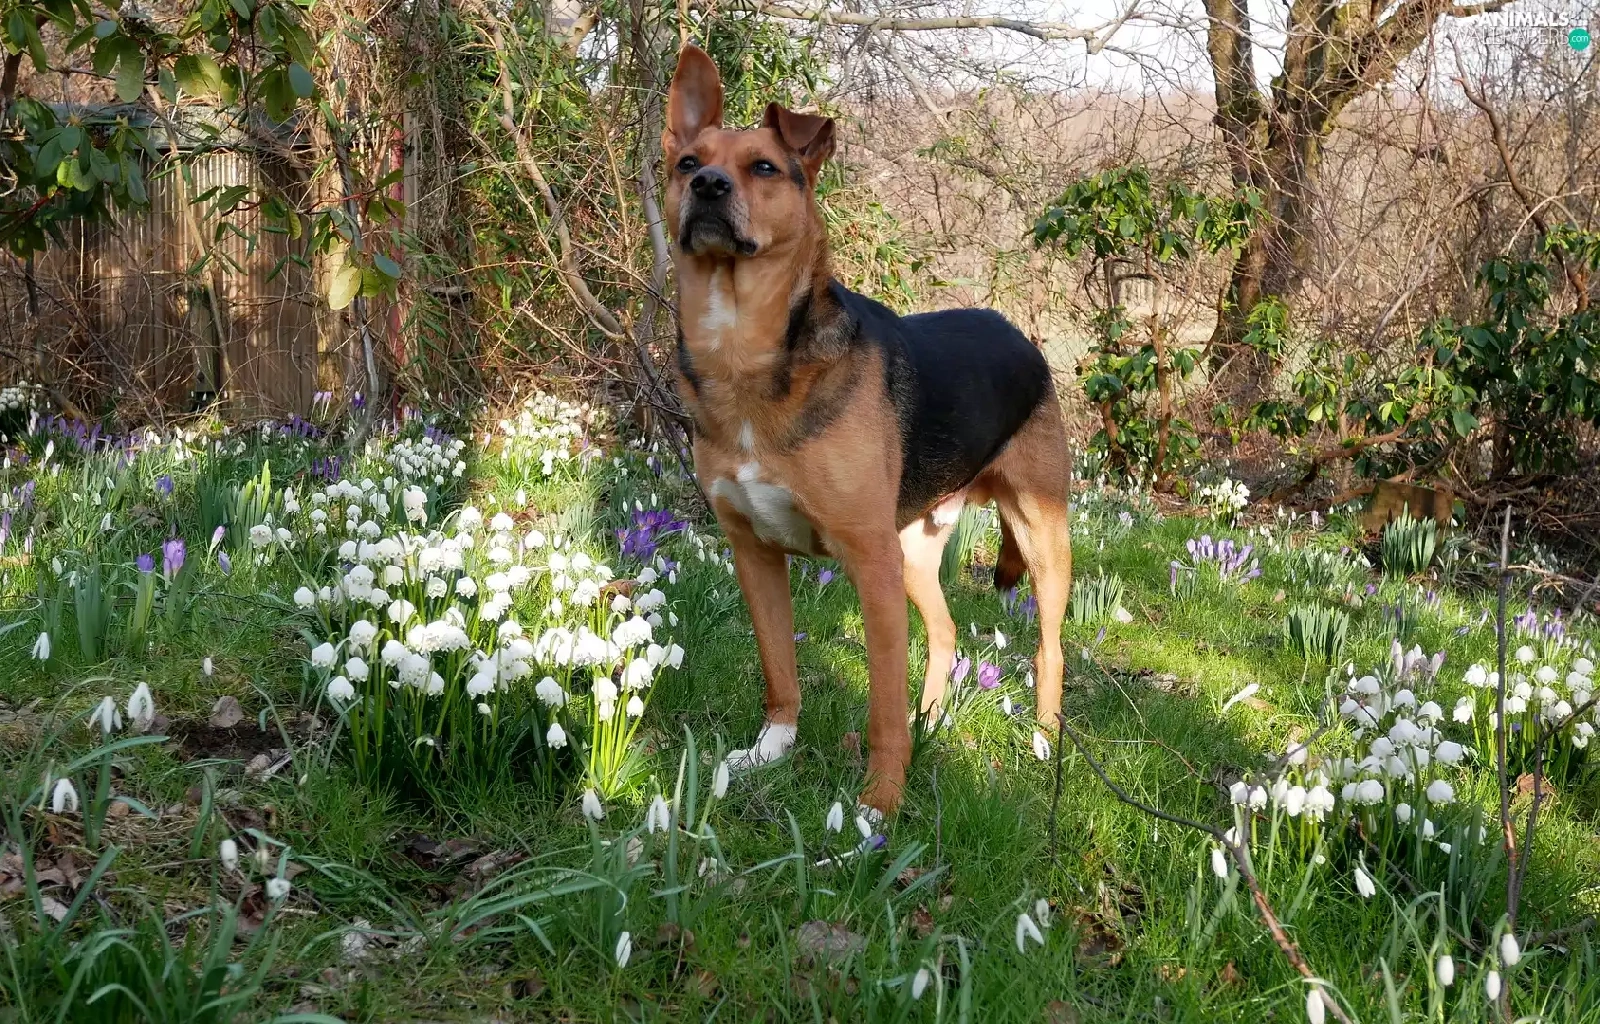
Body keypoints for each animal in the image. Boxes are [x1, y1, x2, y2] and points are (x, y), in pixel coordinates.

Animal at [662, 45, 1073, 816]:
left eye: (765, 167)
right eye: (687, 162)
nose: (706, 186)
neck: (745, 351)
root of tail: (1019, 335)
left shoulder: (868, 564)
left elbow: (881, 708)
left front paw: (878, 805)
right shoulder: (753, 554)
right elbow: (780, 671)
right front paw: (772, 751)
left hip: (1039, 537)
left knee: (1048, 647)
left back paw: (1043, 739)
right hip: (913, 550)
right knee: (944, 631)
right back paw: (934, 717)